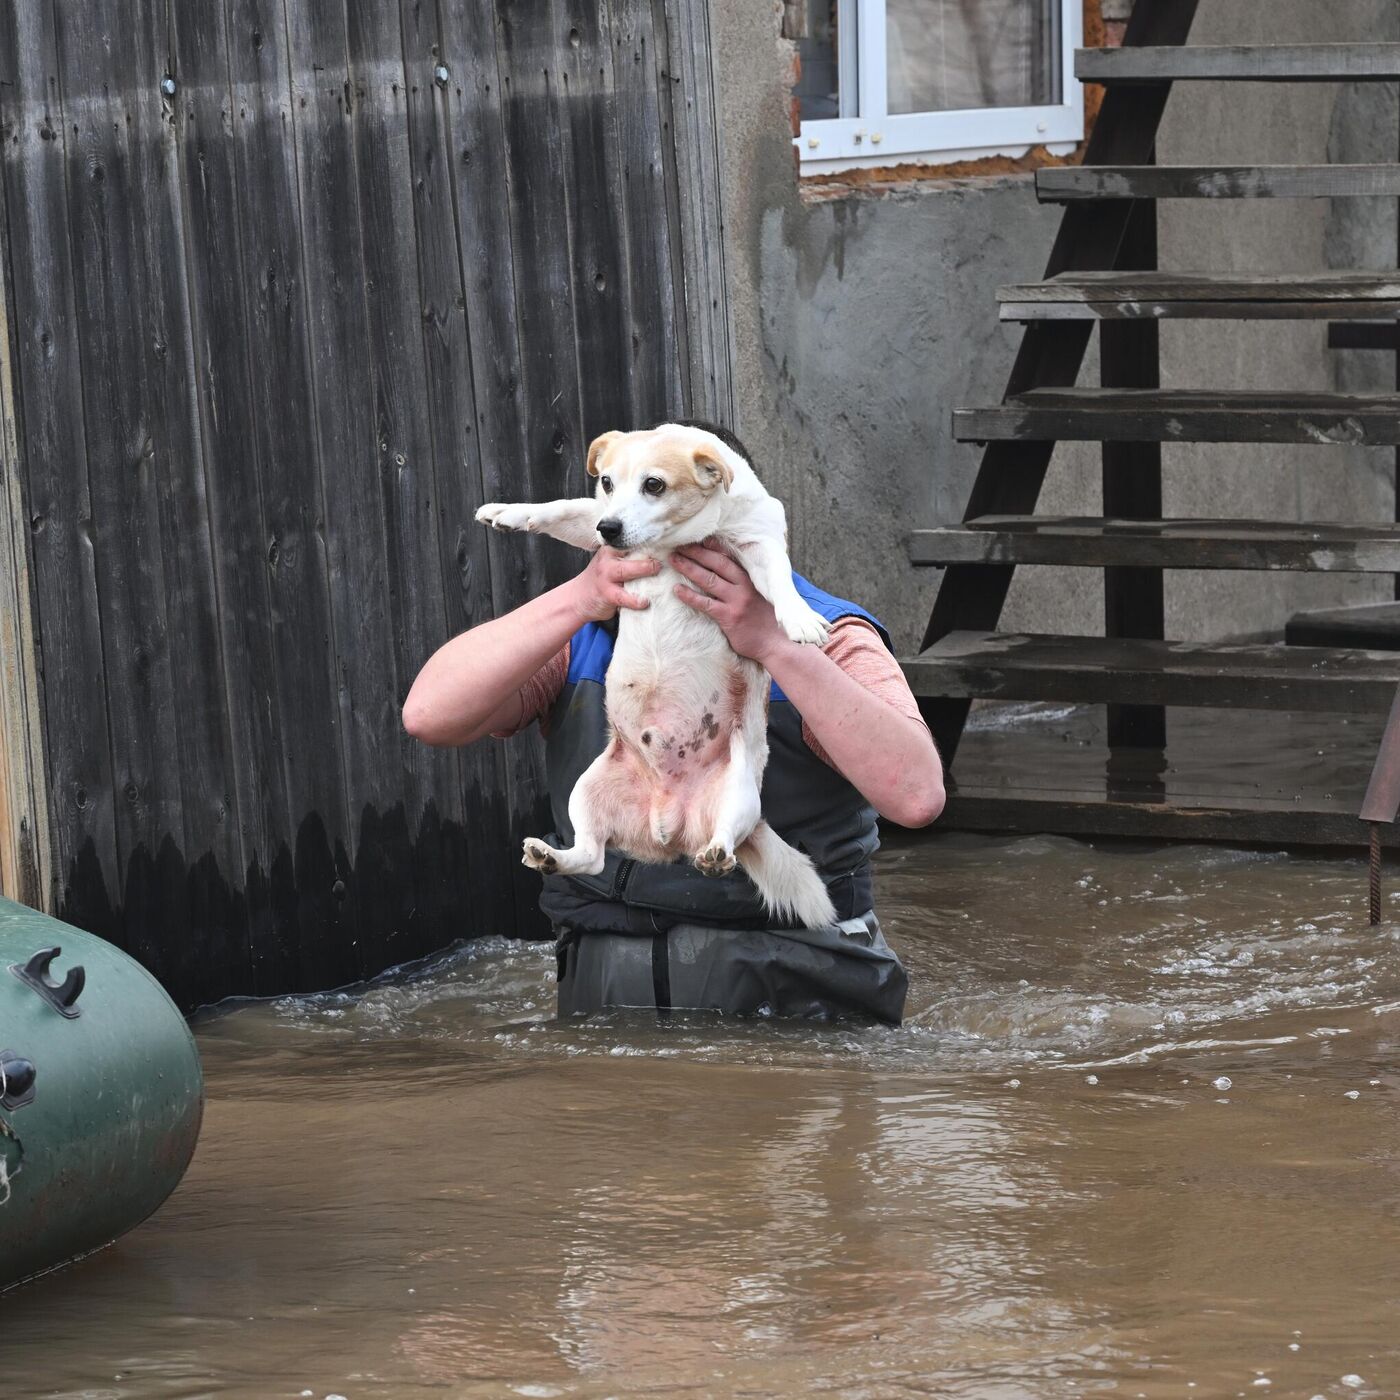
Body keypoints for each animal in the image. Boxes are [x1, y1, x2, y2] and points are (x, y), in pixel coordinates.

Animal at [476, 422, 834, 929]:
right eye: (607, 482)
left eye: (655, 485)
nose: (609, 529)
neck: (670, 542)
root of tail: (668, 824)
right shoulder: (593, 516)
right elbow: (561, 507)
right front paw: (508, 512)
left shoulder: (758, 542)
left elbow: (781, 581)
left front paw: (799, 618)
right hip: (586, 792)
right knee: (591, 857)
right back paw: (551, 856)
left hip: (741, 796)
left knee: (723, 840)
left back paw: (717, 854)